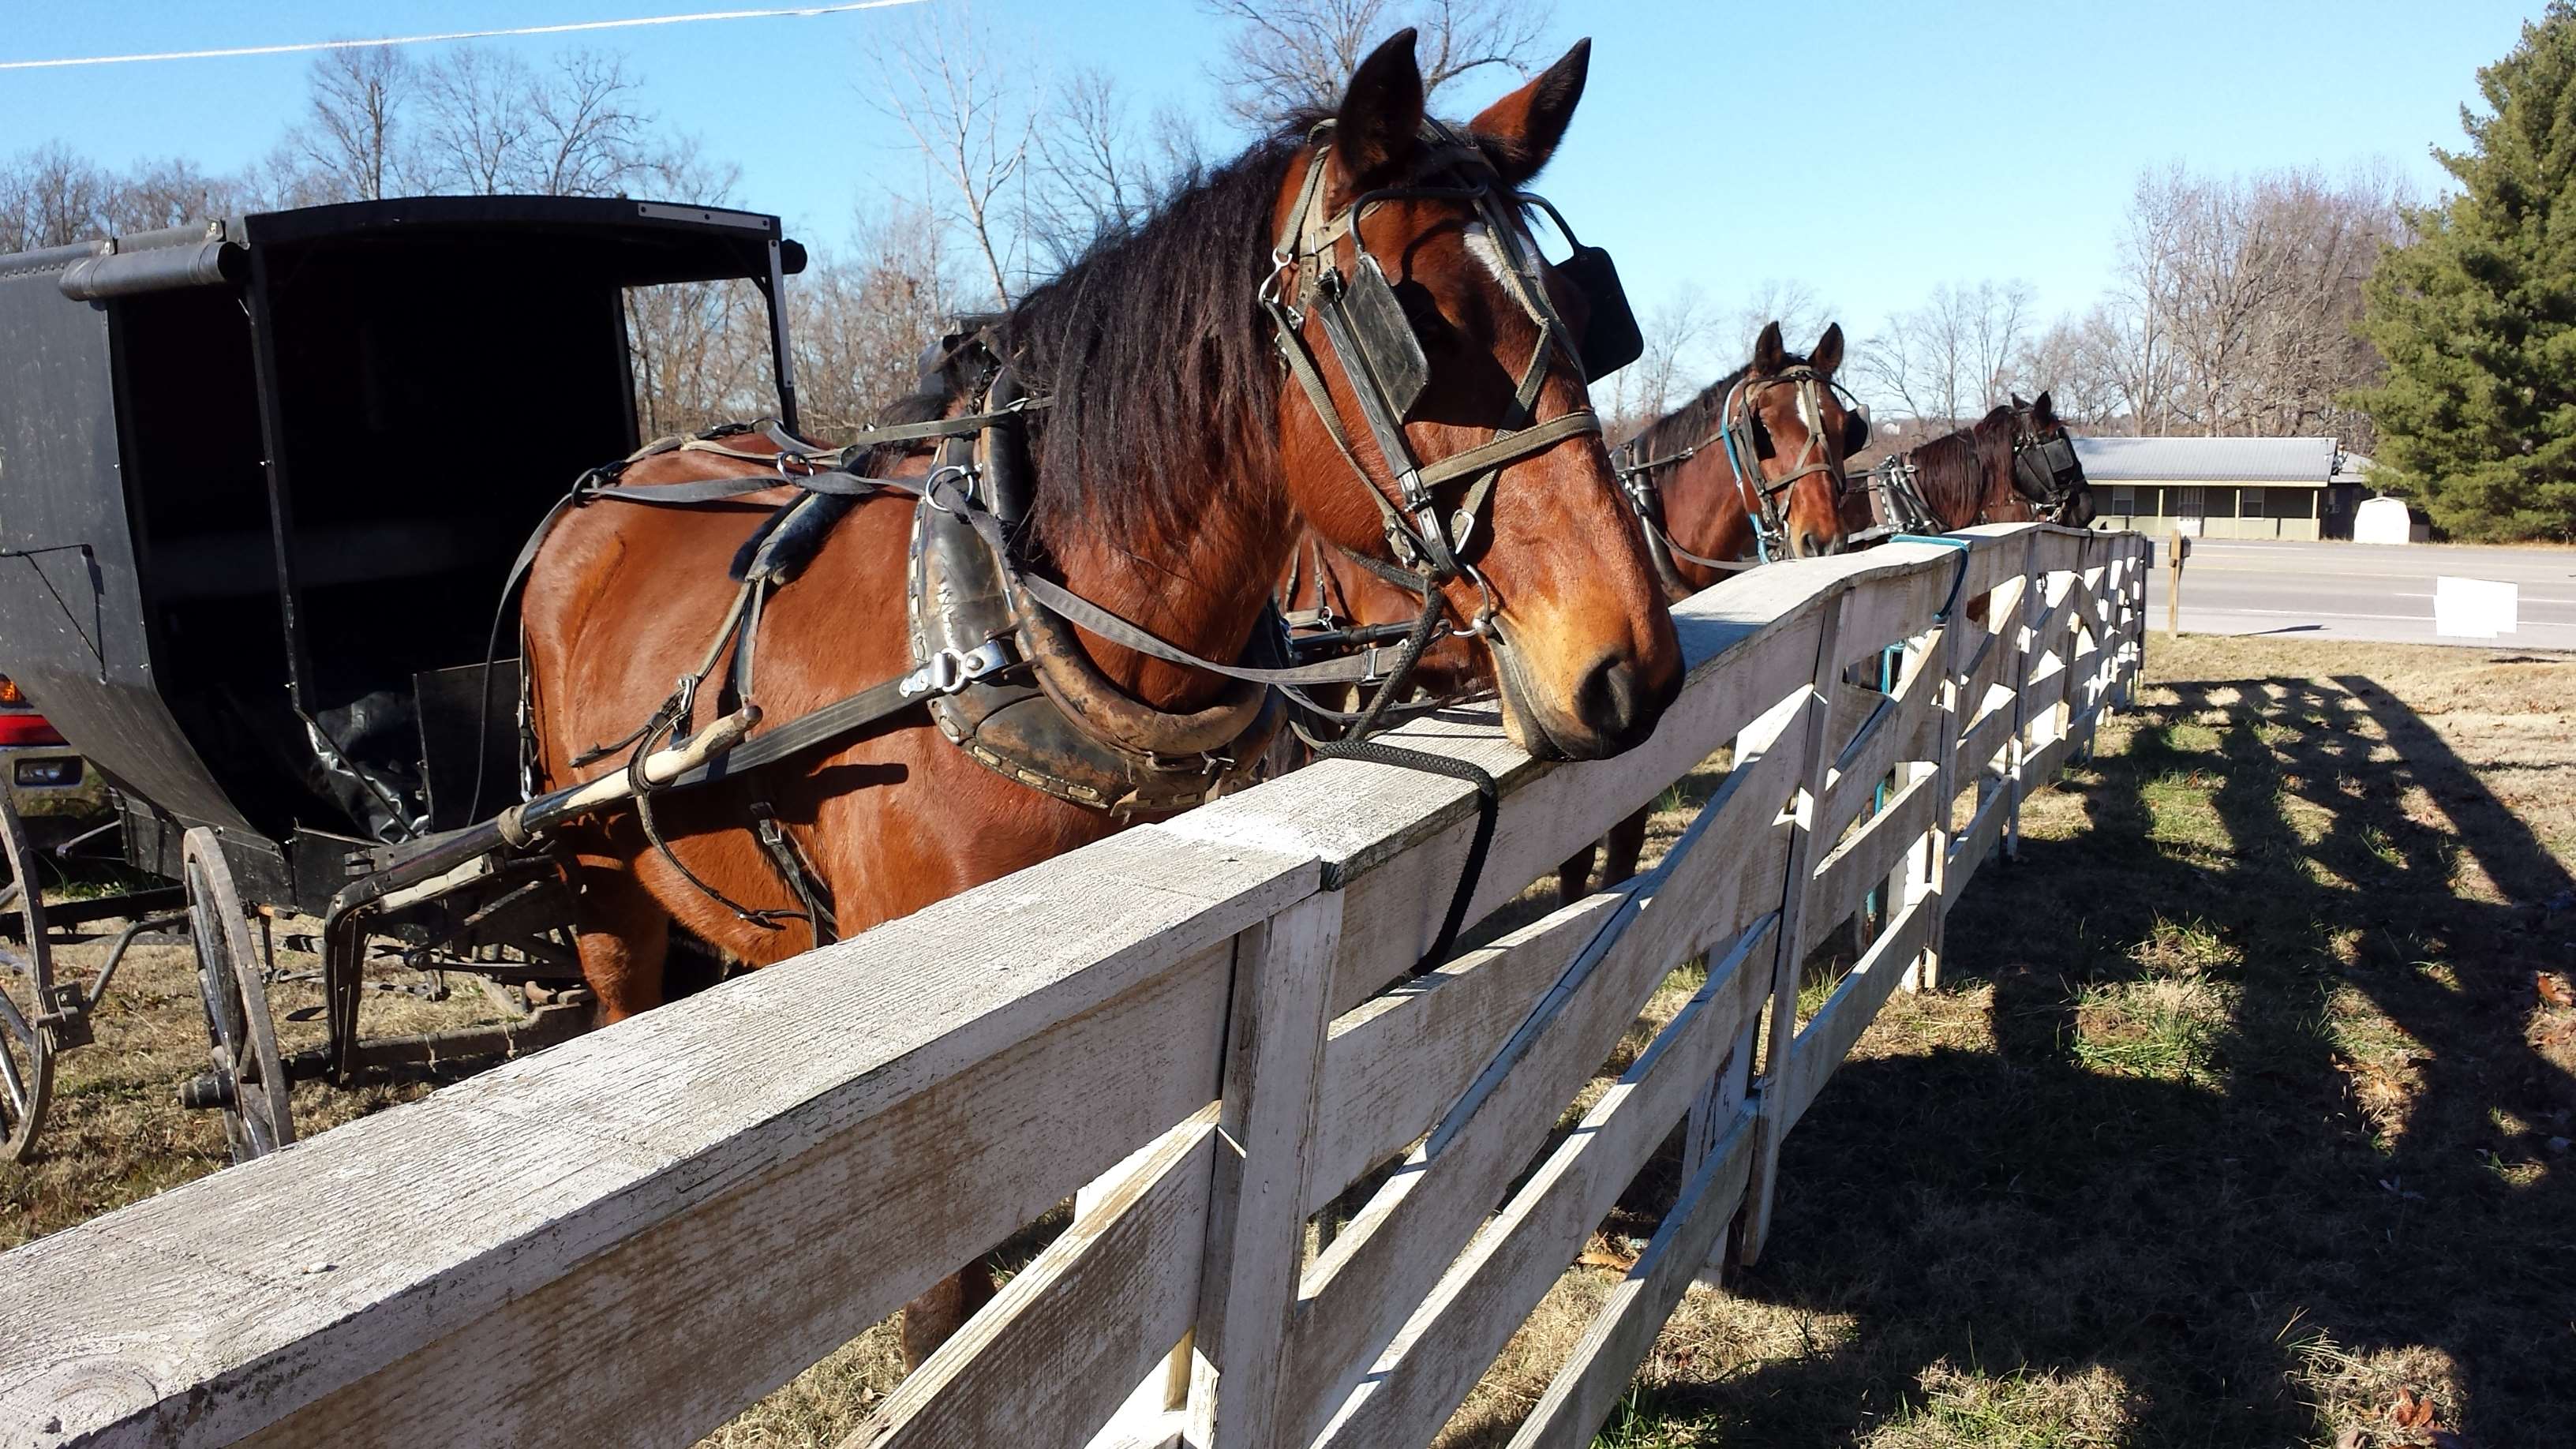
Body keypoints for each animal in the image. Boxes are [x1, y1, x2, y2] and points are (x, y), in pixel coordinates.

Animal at [520, 29, 1678, 1362]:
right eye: (1413, 330)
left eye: (1577, 309)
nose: (1630, 663)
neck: (1022, 631)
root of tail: (605, 493)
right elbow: (942, 1320)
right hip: (603, 890)